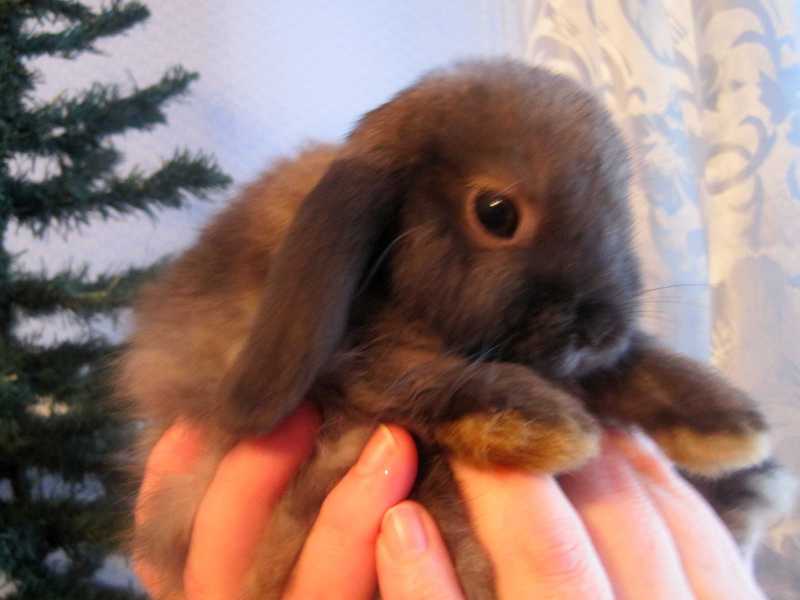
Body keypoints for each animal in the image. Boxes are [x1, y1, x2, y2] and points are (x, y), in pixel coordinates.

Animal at [116, 58, 794, 600]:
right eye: (496, 213)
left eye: (618, 209)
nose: (599, 327)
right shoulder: (365, 371)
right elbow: (412, 377)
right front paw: (550, 427)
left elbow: (634, 369)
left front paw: (727, 425)